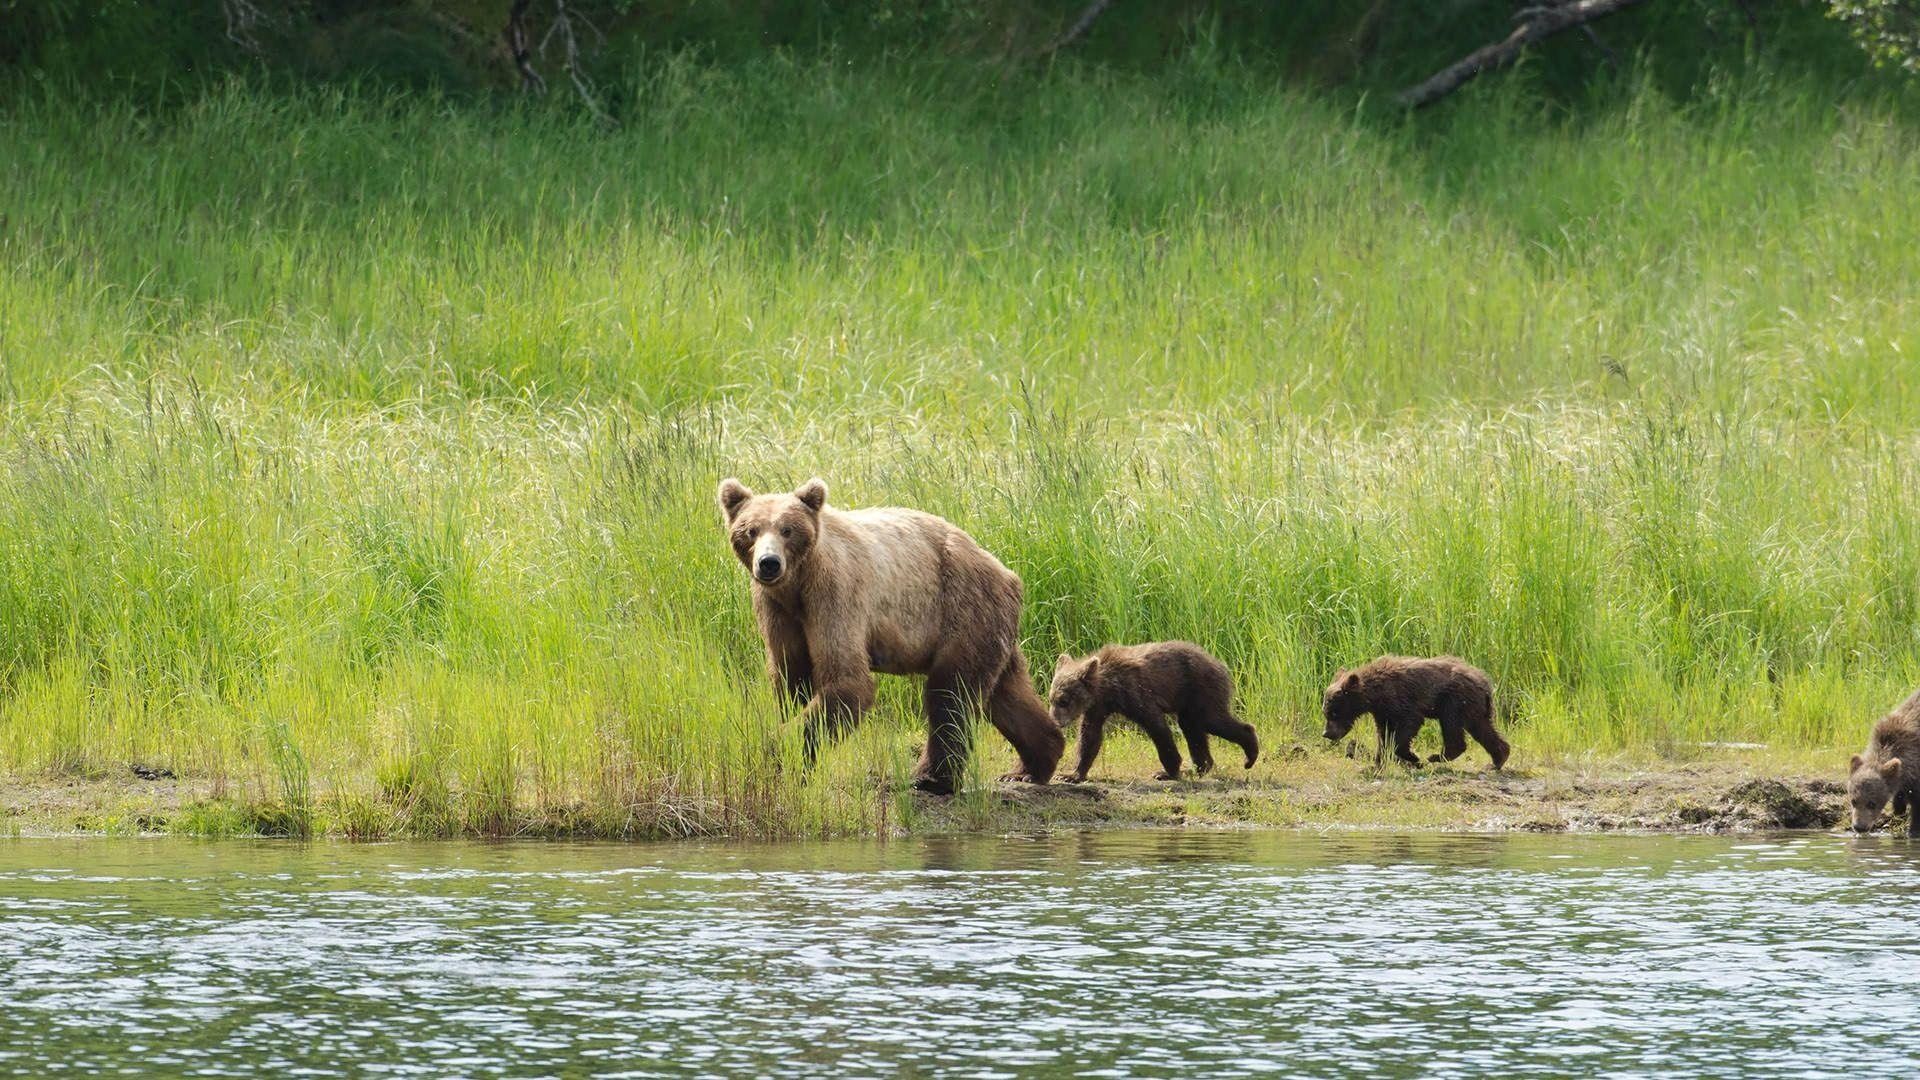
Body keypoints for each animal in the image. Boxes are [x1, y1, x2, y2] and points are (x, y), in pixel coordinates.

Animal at [718, 474, 1059, 795]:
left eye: (787, 529)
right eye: (751, 530)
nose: (769, 563)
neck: (796, 584)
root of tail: (1007, 572)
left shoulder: (834, 594)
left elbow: (847, 681)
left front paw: (773, 755)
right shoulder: (777, 609)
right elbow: (791, 676)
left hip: (963, 608)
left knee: (951, 693)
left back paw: (930, 778)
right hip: (993, 627)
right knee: (1006, 693)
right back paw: (1032, 764)